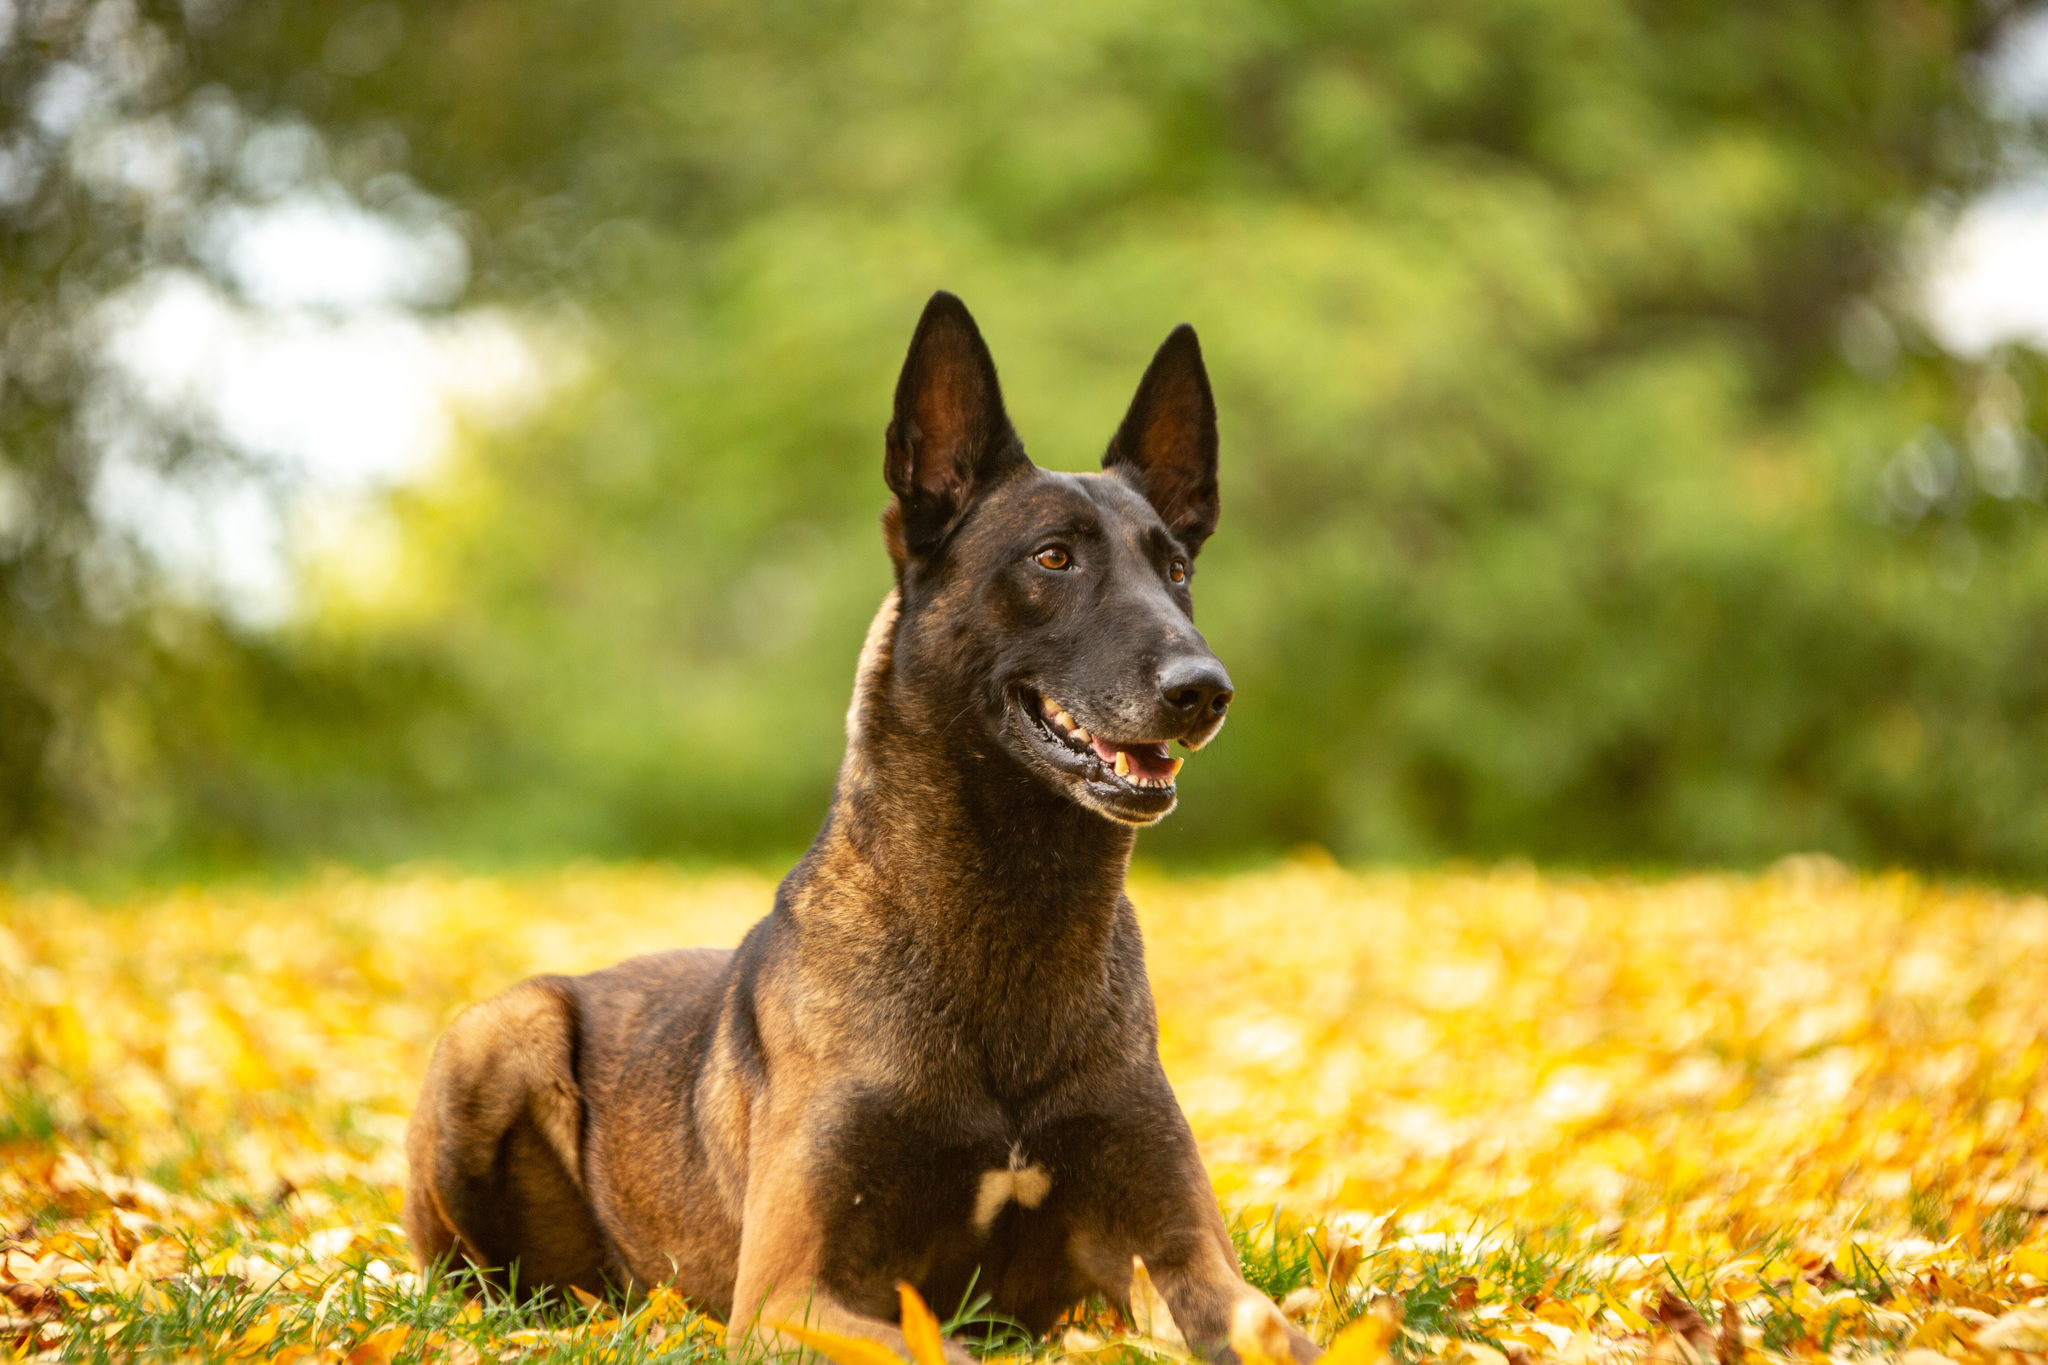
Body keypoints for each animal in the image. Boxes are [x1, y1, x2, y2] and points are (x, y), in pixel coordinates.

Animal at [407, 290, 1318, 1365]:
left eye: (1175, 568)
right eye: (1052, 558)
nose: (1204, 690)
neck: (1014, 921)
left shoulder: (1186, 1258)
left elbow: (1280, 1329)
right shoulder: (789, 1295)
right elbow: (945, 1350)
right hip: (495, 1036)